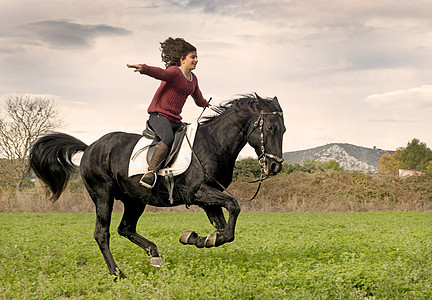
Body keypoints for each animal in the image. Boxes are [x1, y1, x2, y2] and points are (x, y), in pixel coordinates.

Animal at [28, 94, 286, 278]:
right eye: (270, 128)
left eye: (283, 130)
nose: (275, 166)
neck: (213, 143)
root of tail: (90, 146)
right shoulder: (197, 192)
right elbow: (233, 207)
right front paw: (196, 237)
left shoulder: (208, 198)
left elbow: (225, 231)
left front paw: (199, 238)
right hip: (103, 196)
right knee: (102, 234)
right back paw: (118, 273)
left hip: (135, 200)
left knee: (126, 228)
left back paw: (154, 254)